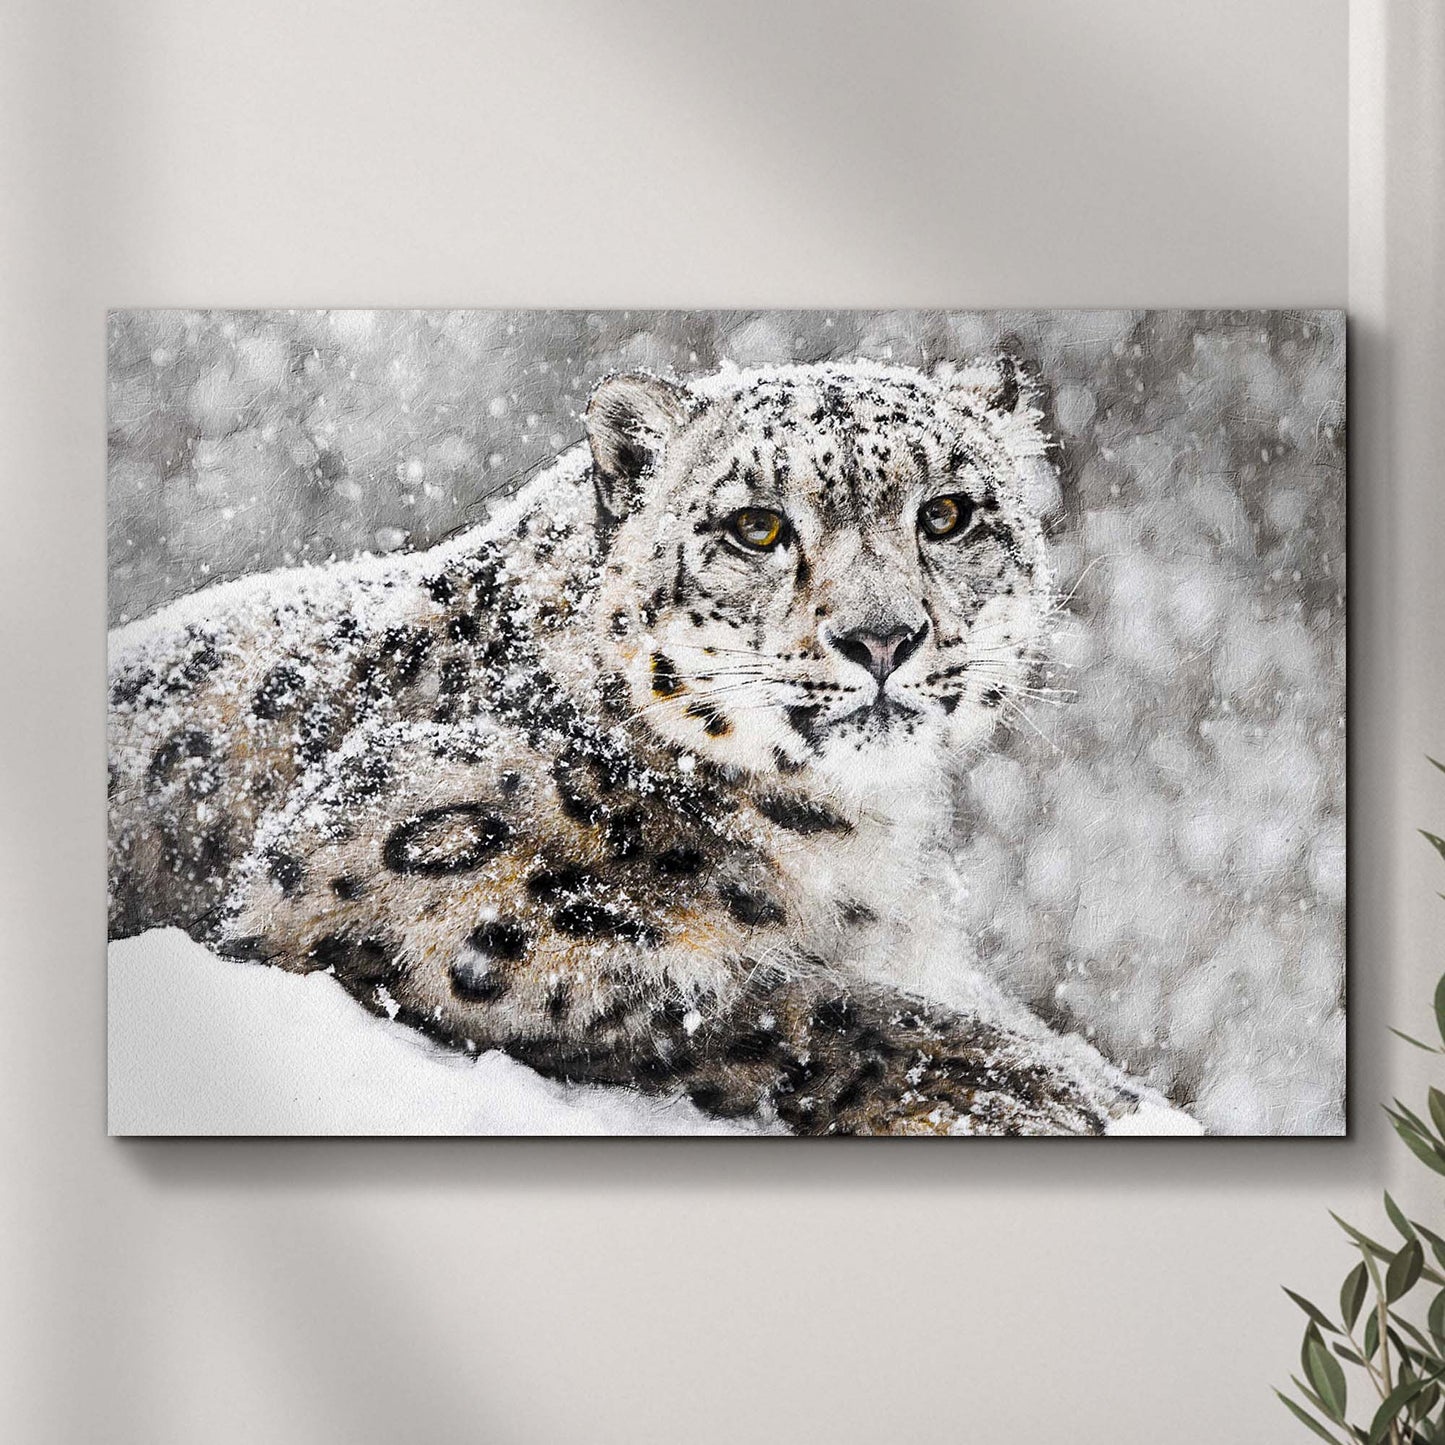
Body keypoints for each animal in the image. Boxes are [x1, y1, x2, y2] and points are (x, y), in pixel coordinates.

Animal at [108, 357, 1166, 1136]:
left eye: (946, 512)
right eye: (757, 526)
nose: (881, 636)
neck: (858, 841)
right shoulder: (401, 879)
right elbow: (754, 1000)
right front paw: (1047, 1092)